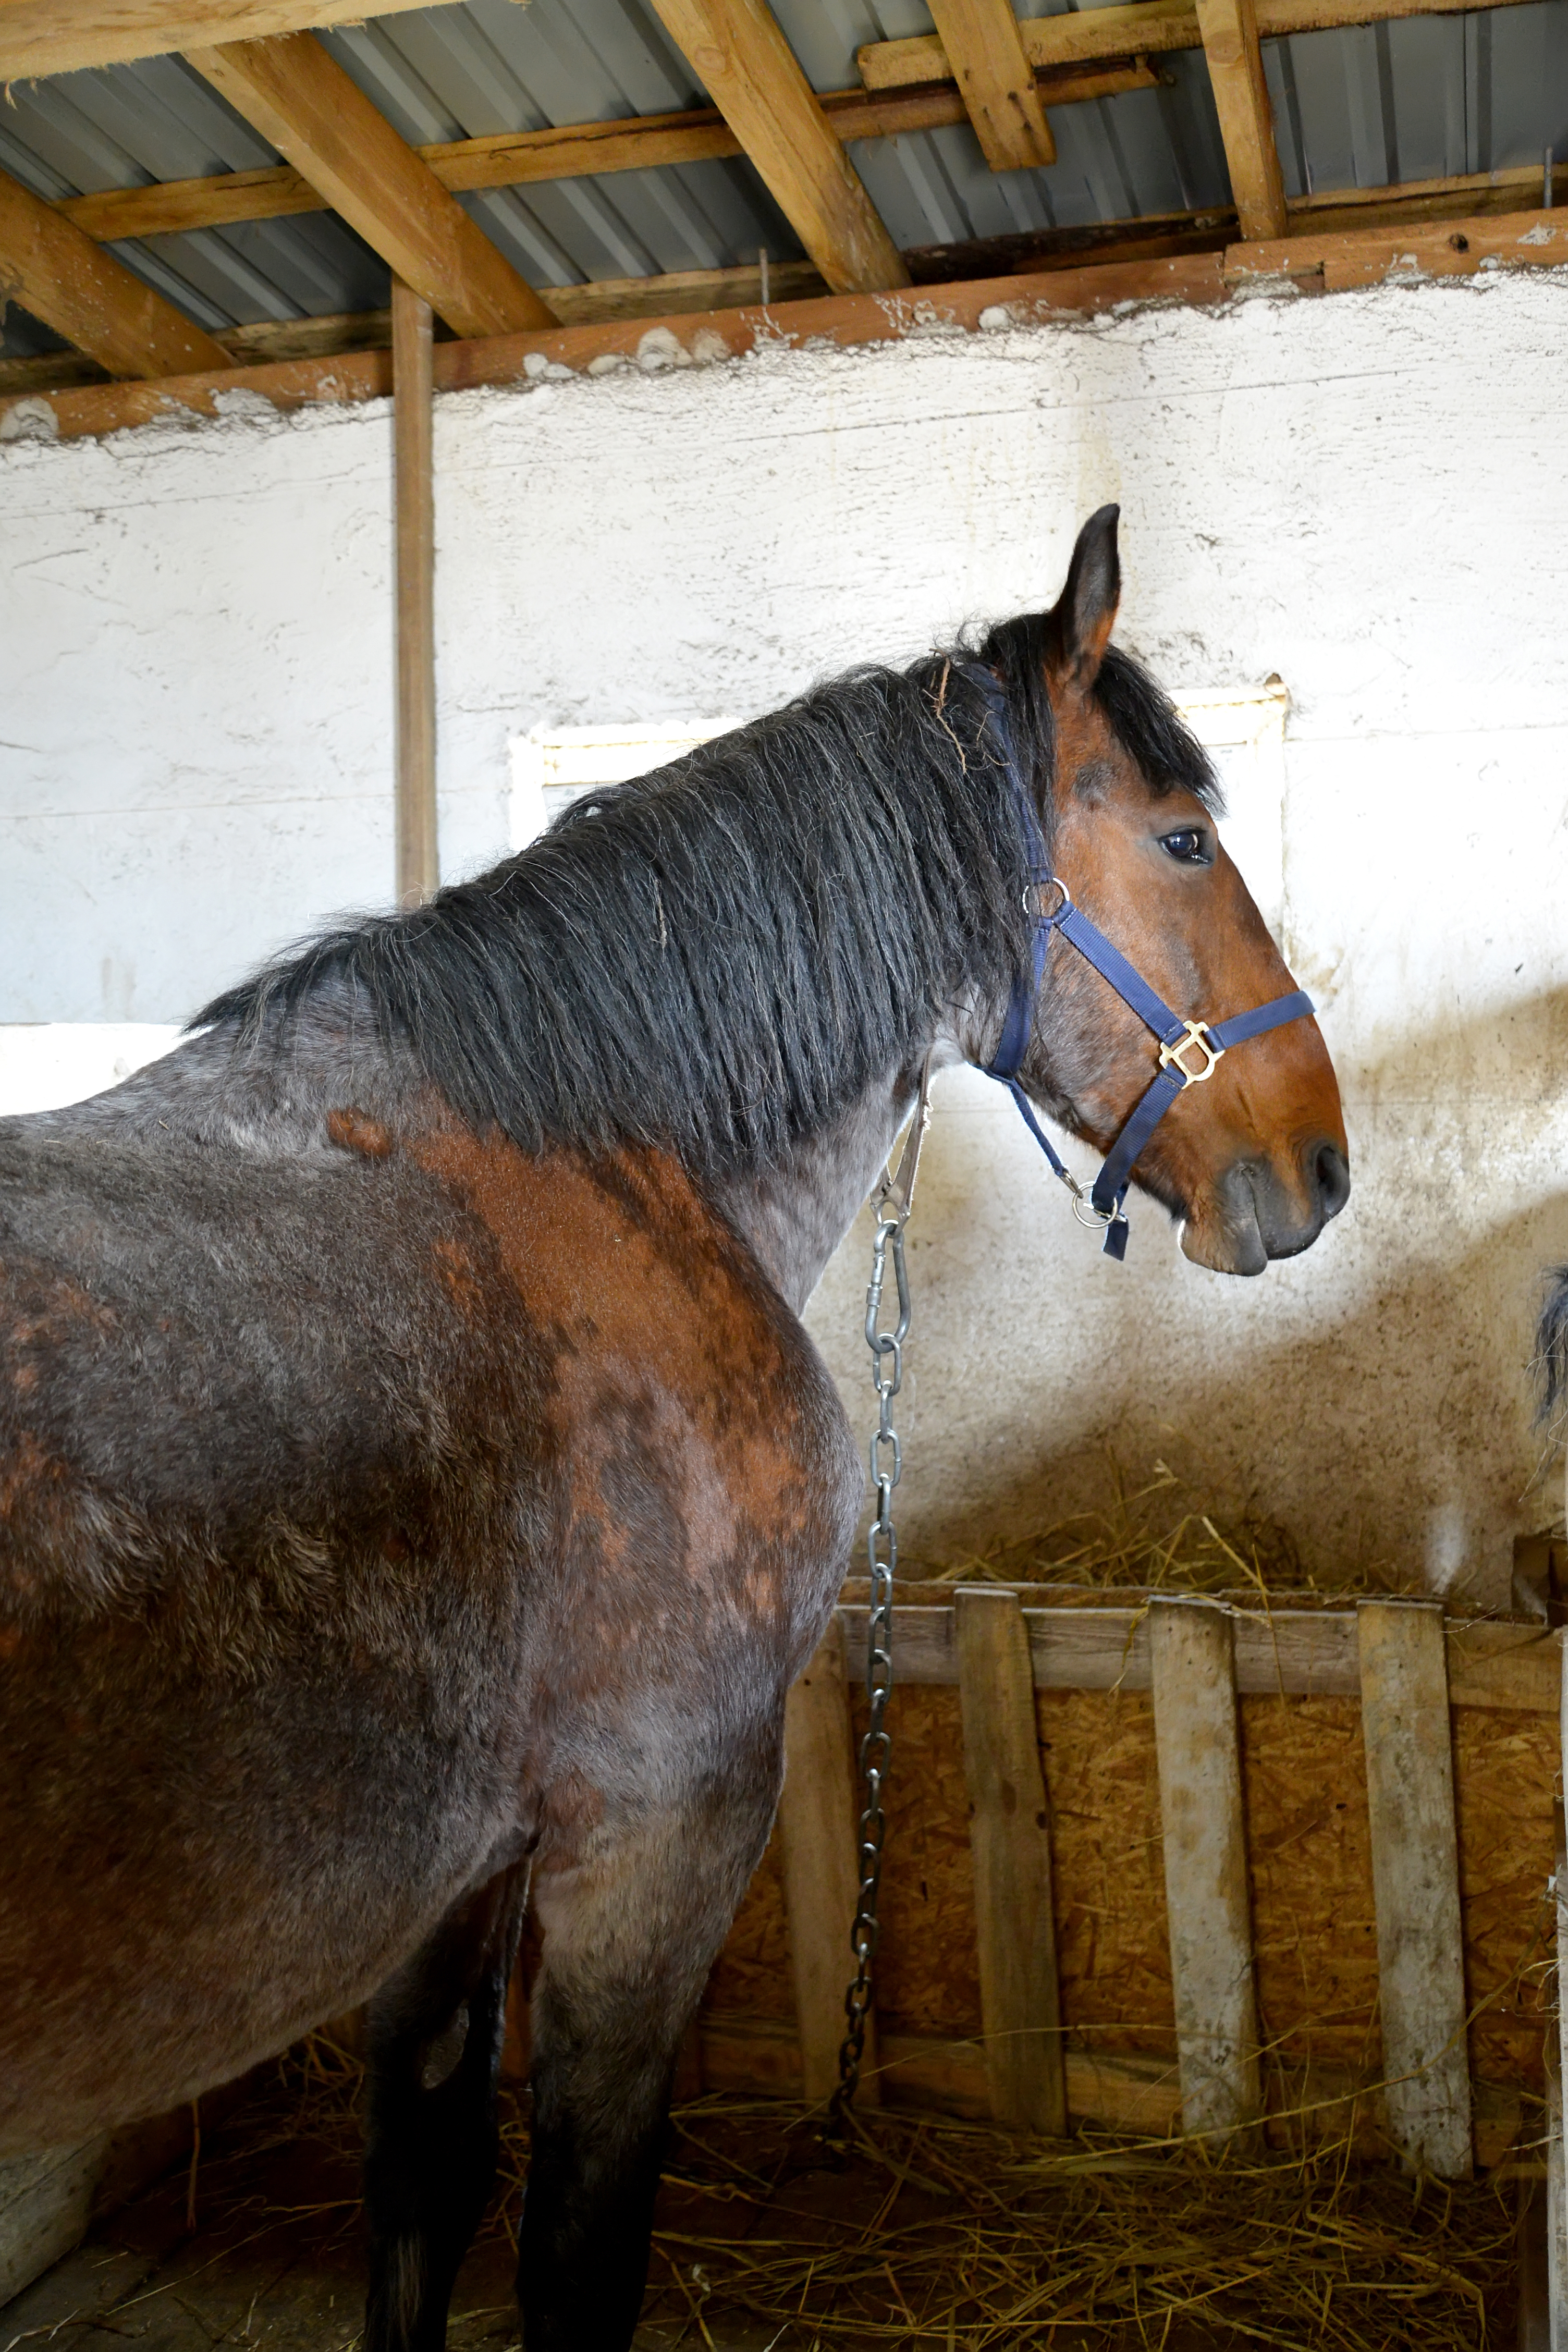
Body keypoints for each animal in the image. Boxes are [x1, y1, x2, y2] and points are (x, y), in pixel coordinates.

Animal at [0, 515, 1354, 2352]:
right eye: (1186, 836)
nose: (1323, 1162)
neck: (603, 1158)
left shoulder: (459, 1886)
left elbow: (423, 2181)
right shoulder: (658, 1843)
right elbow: (576, 2254)